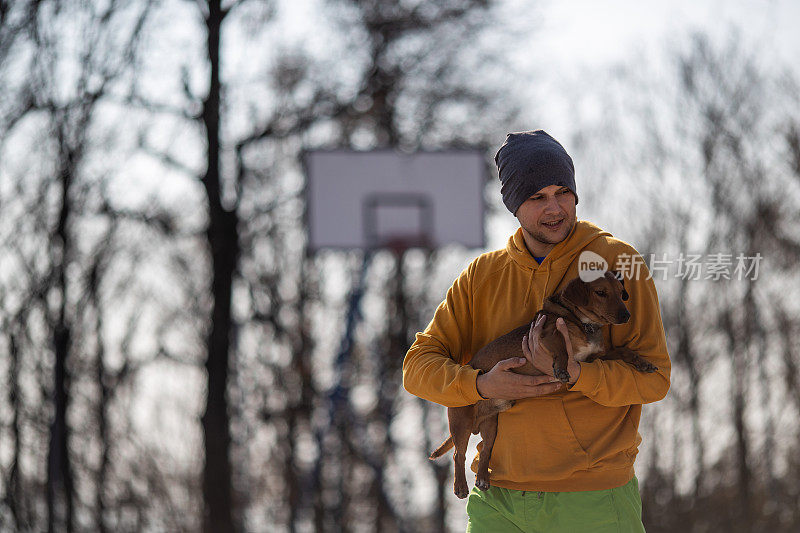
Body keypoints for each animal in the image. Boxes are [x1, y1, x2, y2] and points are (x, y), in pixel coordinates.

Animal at [428, 270, 660, 498]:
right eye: (601, 292)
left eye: (621, 292)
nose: (626, 315)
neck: (582, 323)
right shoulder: (546, 335)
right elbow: (561, 346)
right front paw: (561, 368)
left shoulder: (592, 359)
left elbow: (623, 350)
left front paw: (643, 362)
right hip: (462, 421)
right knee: (458, 454)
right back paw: (460, 486)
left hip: (491, 425)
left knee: (485, 450)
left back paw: (483, 478)